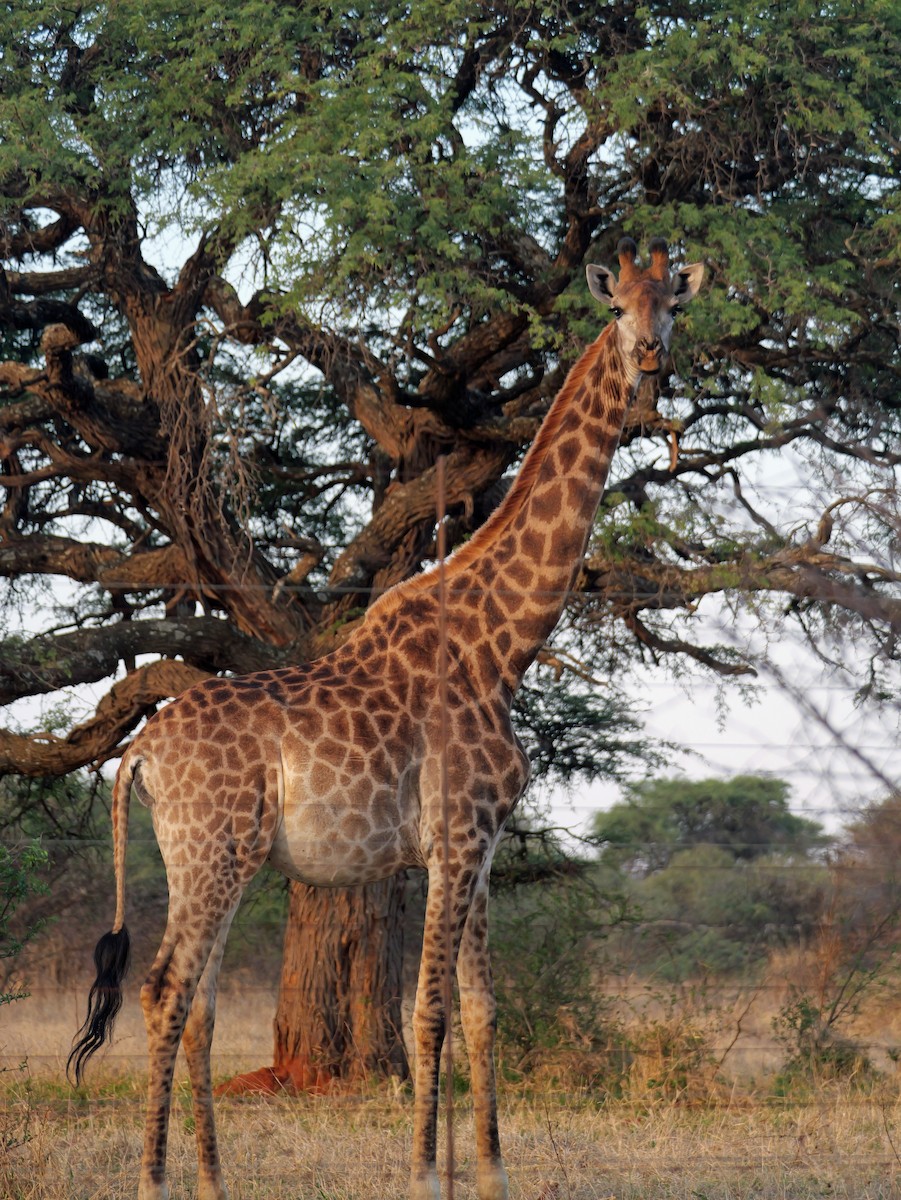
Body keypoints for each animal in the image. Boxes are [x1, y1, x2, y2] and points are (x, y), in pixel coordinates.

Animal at [69, 237, 703, 1200]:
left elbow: (481, 1011)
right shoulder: (453, 836)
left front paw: (489, 1175)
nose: (651, 361)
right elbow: (428, 1011)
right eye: (616, 307)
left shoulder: (481, 845)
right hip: (212, 852)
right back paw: (156, 1180)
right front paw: (422, 1176)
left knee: (200, 1002)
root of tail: (136, 752)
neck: (499, 644)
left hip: (206, 860)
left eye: (673, 303)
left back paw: (213, 1180)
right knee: (165, 990)